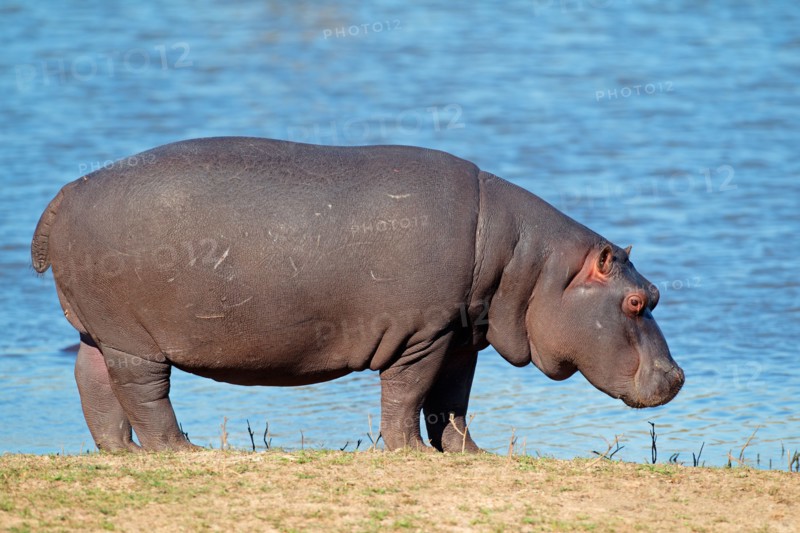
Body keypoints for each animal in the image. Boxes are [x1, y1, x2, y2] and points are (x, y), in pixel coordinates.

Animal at [31, 137, 684, 453]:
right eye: (634, 302)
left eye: (655, 292)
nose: (677, 378)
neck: (532, 265)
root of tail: (64, 192)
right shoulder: (423, 335)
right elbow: (408, 393)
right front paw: (408, 453)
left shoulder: (459, 337)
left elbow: (452, 400)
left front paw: (469, 454)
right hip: (135, 340)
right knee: (146, 393)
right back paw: (180, 451)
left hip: (99, 330)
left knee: (92, 380)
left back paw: (122, 454)